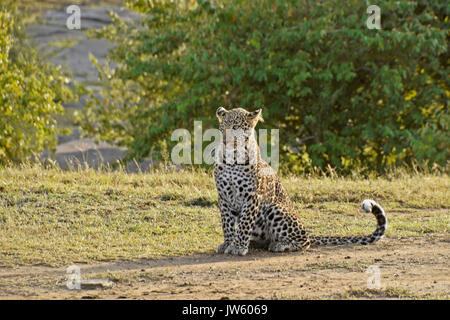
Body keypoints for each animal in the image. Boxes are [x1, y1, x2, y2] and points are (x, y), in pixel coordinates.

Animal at [214, 106, 386, 256]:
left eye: (235, 127)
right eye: (222, 127)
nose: (224, 141)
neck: (232, 159)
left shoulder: (252, 197)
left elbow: (244, 223)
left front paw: (238, 247)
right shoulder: (223, 197)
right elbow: (227, 223)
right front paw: (228, 243)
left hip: (275, 209)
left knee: (304, 240)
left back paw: (280, 244)